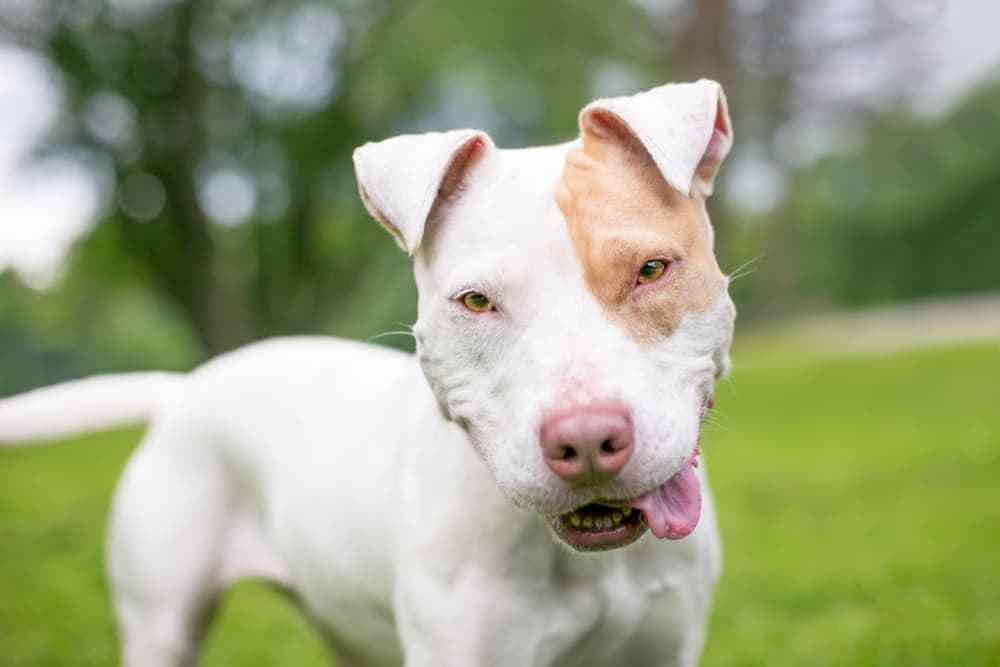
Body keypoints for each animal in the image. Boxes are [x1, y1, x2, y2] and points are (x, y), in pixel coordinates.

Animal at [0, 79, 736, 667]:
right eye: (476, 301)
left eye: (651, 270)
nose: (585, 438)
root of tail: (191, 384)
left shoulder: (665, 645)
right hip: (162, 624)